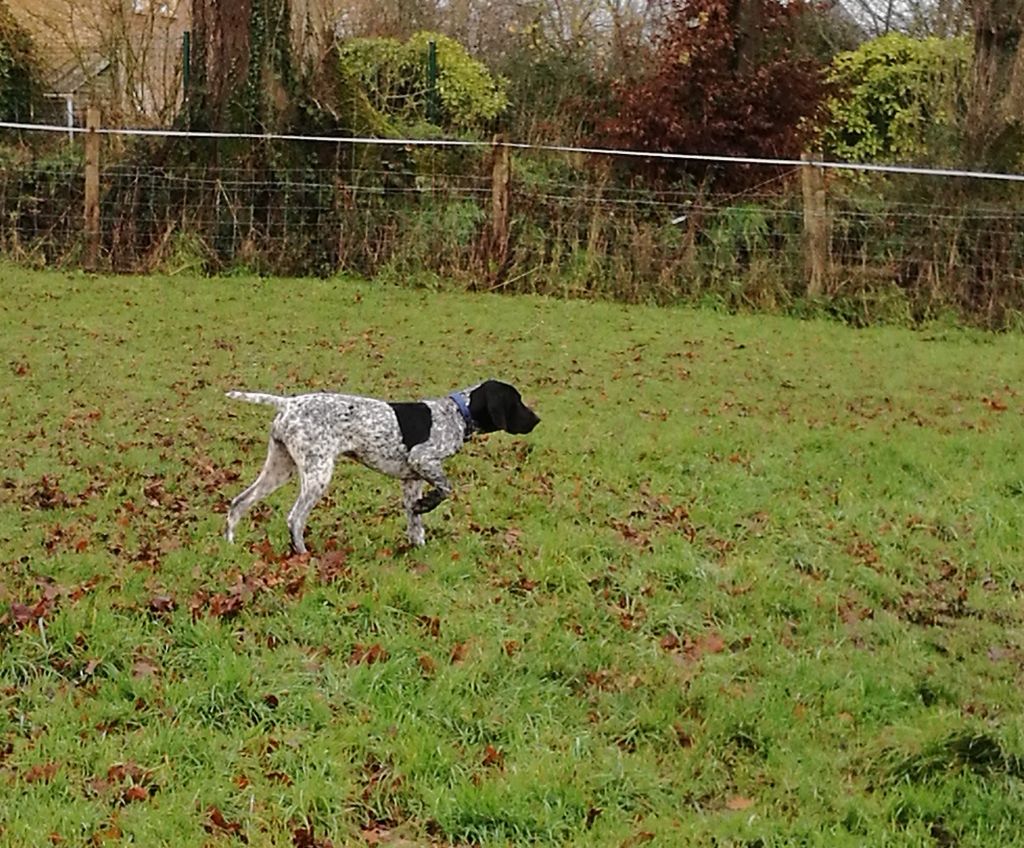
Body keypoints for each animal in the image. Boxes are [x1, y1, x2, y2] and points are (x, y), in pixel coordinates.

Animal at [226, 380, 544, 553]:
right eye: (516, 401)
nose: (538, 420)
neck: (456, 413)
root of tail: (287, 404)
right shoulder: (423, 459)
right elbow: (446, 488)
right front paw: (426, 505)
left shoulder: (412, 480)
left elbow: (416, 525)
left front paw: (418, 547)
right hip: (317, 473)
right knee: (295, 519)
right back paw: (303, 554)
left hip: (280, 468)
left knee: (238, 503)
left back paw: (230, 546)